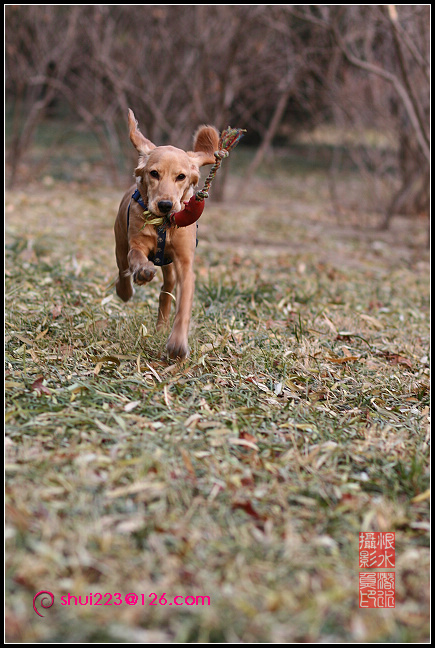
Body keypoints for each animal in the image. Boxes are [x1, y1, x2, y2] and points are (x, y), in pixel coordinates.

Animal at [114, 108, 220, 356]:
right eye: (154, 173)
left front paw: (177, 343)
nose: (165, 205)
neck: (162, 224)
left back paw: (162, 327)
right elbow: (136, 257)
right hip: (119, 243)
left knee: (167, 289)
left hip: (170, 267)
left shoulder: (185, 262)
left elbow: (184, 306)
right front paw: (143, 271)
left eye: (181, 176)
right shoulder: (136, 244)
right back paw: (125, 290)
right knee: (123, 270)